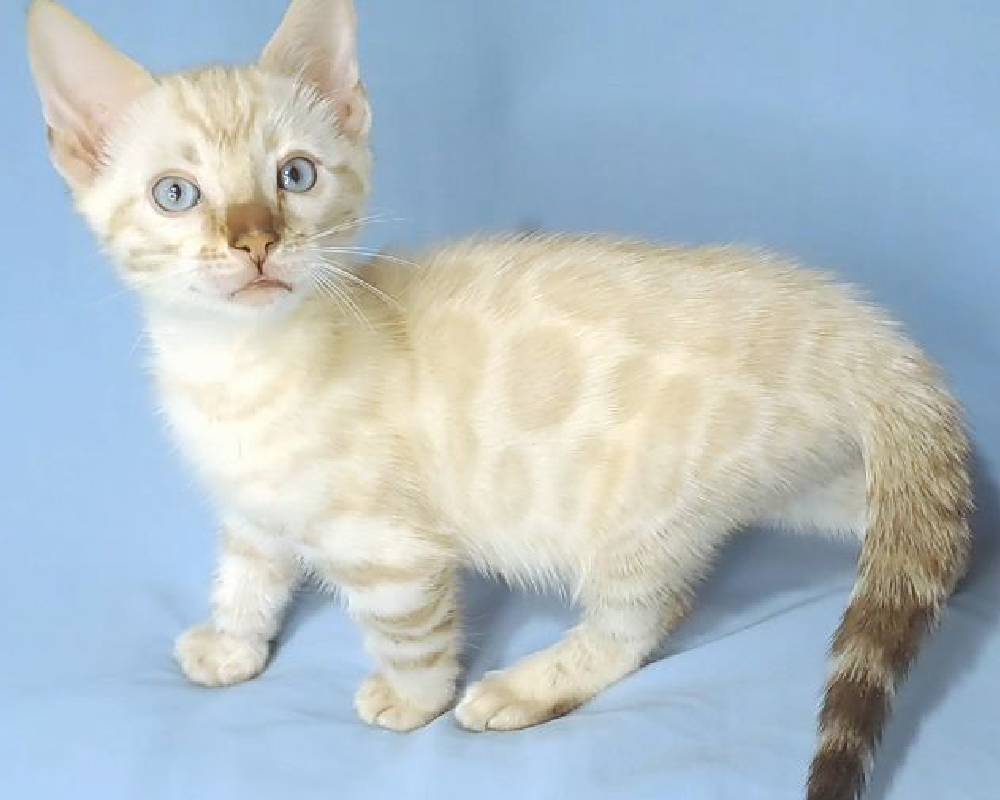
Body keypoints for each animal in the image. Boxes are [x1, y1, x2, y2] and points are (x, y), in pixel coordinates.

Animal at [26, 2, 972, 799]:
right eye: (176, 194)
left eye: (294, 176)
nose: (255, 239)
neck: (231, 367)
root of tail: (857, 325)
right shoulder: (254, 508)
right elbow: (245, 576)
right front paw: (231, 646)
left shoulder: (390, 549)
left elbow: (409, 633)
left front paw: (410, 703)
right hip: (823, 478)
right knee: (924, 529)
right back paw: (948, 567)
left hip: (636, 519)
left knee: (645, 617)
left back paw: (522, 687)